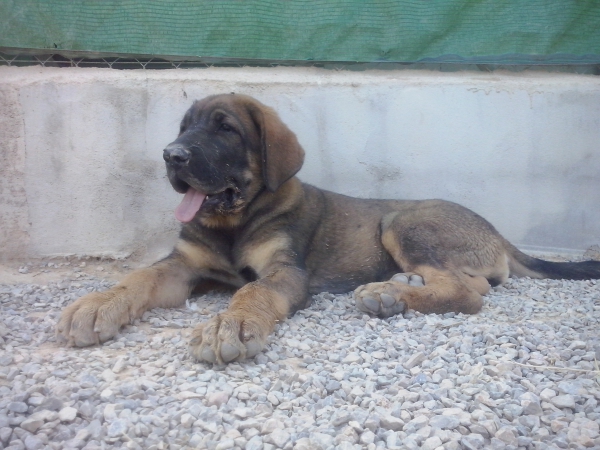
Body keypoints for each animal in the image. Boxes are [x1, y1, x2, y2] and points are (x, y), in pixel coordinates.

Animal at [56, 93, 600, 364]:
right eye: (184, 128)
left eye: (225, 129)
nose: (172, 156)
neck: (234, 222)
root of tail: (497, 231)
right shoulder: (182, 266)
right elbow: (138, 278)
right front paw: (96, 305)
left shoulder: (285, 271)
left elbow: (250, 293)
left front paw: (229, 324)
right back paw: (399, 286)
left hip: (402, 221)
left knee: (469, 291)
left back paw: (389, 295)